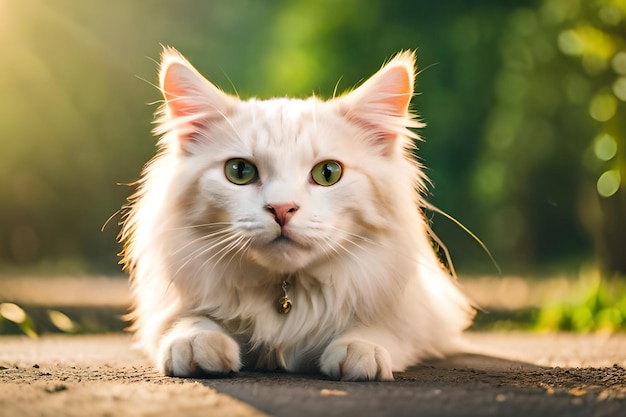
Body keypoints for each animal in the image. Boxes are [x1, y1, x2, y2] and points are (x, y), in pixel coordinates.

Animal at [119, 46, 472, 380]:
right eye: (240, 171)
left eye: (328, 173)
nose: (281, 209)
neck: (286, 294)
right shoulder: (171, 306)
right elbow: (191, 320)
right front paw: (196, 343)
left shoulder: (415, 316)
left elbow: (381, 330)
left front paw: (360, 350)